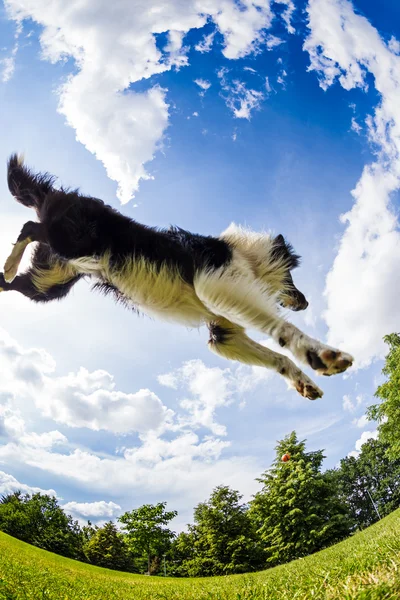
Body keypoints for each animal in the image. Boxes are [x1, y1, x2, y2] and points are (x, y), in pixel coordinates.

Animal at [0, 155, 354, 398]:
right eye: (292, 278)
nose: (306, 303)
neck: (249, 259)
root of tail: (58, 194)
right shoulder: (217, 286)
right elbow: (282, 330)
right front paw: (324, 356)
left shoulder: (224, 334)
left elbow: (277, 357)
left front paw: (305, 382)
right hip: (72, 242)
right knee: (31, 227)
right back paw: (10, 264)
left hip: (49, 283)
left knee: (15, 279)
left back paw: (7, 271)